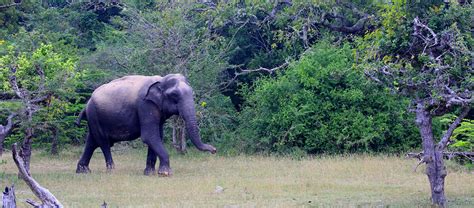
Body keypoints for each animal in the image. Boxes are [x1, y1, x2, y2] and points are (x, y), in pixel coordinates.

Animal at [75, 74, 217, 176]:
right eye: (174, 95)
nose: (214, 150)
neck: (161, 80)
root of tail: (87, 103)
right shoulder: (145, 105)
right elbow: (149, 136)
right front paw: (165, 173)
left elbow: (157, 136)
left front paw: (150, 173)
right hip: (94, 115)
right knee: (103, 142)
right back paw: (111, 171)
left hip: (94, 118)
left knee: (92, 141)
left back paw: (83, 171)